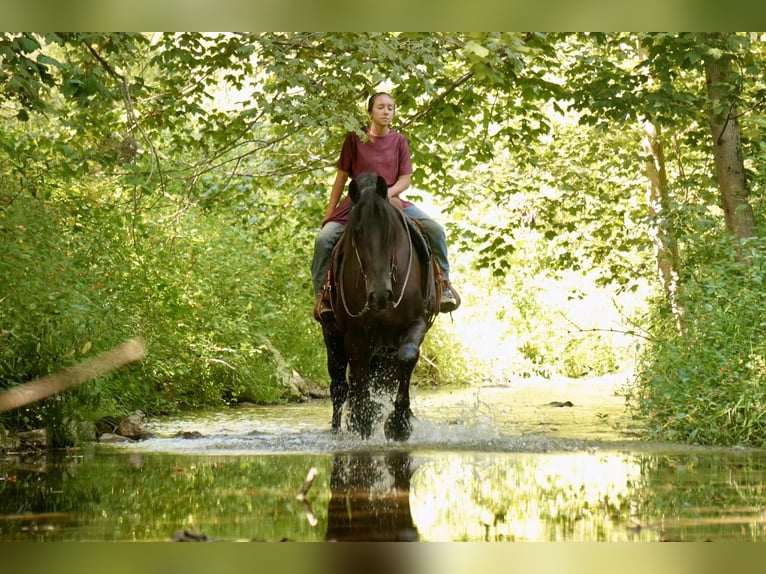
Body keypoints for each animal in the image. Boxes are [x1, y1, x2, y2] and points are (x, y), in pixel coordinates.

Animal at [320, 172, 437, 440]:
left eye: (389, 231)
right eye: (357, 231)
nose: (380, 295)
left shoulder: (417, 323)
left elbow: (407, 357)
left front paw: (399, 423)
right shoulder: (355, 335)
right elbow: (359, 381)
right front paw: (363, 424)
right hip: (332, 336)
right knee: (340, 385)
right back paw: (338, 429)